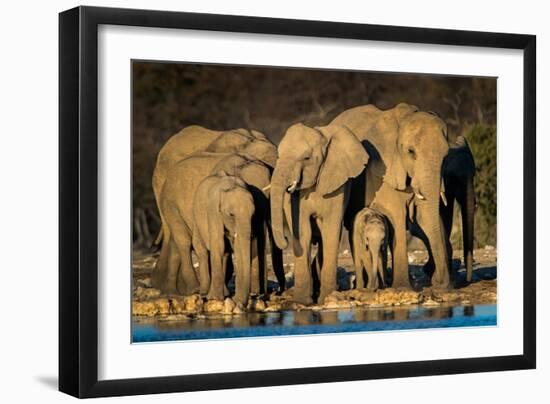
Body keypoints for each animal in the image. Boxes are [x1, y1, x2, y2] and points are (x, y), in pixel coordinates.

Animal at [151, 152, 284, 296]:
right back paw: (194, 290)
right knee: (184, 242)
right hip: (171, 205)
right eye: (231, 215)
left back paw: (172, 291)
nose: (277, 291)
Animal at [272, 123, 370, 304]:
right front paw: (302, 302)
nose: (285, 241)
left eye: (306, 158)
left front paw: (327, 298)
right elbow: (303, 231)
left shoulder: (337, 187)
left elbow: (331, 230)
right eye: (278, 155)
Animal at [332, 102, 452, 288]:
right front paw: (402, 287)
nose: (438, 282)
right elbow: (396, 215)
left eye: (445, 156)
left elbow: (423, 216)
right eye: (411, 152)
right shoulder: (382, 170)